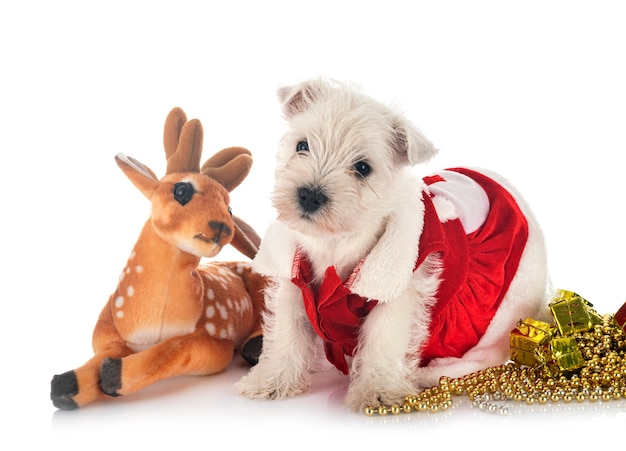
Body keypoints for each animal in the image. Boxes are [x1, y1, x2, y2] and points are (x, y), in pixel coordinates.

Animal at [235, 78, 552, 414]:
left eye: (363, 168)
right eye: (302, 145)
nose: (309, 195)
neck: (335, 243)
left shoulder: (396, 294)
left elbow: (382, 341)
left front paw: (377, 392)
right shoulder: (294, 285)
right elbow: (287, 334)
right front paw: (271, 381)